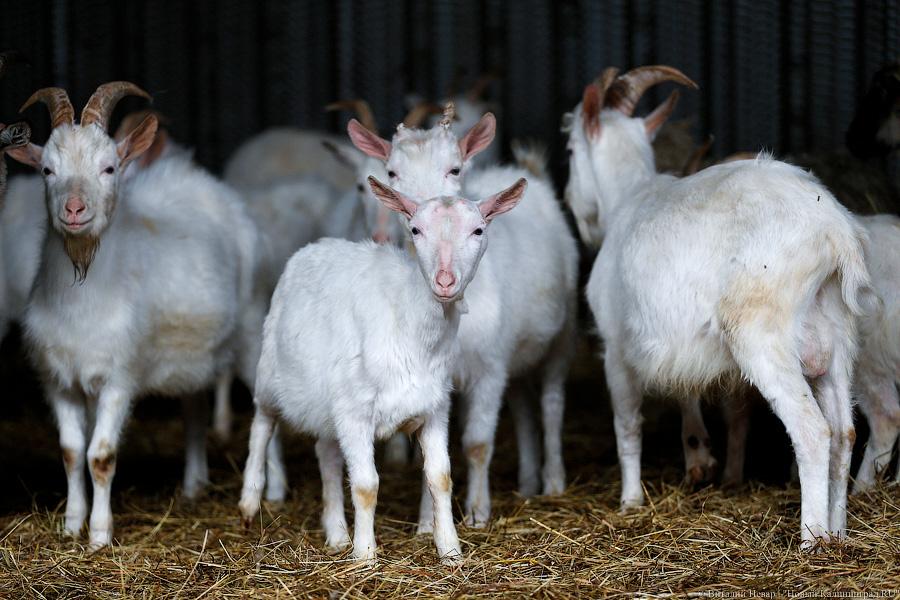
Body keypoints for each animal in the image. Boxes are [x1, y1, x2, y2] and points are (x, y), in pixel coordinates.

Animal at [6, 82, 267, 548]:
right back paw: (193, 486)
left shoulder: (118, 378)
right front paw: (72, 524)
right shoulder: (59, 380)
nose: (74, 210)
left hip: (253, 329)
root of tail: (206, 186)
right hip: (190, 356)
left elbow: (100, 455)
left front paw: (99, 534)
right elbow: (71, 452)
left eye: (109, 168)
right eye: (47, 170)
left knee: (263, 406)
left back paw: (269, 492)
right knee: (194, 408)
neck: (82, 295)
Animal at [239, 175, 529, 564]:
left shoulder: (434, 407)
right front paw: (365, 556)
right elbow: (366, 486)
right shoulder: (355, 412)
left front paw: (450, 550)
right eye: (415, 229)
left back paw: (336, 535)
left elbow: (440, 477)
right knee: (262, 424)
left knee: (327, 457)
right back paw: (250, 502)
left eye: (479, 230)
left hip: (328, 403)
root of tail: (315, 246)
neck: (410, 323)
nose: (445, 281)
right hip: (271, 373)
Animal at [346, 102, 579, 528]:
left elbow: (477, 444)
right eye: (392, 172)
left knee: (552, 402)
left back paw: (553, 480)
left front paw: (477, 513)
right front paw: (427, 524)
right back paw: (527, 479)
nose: (417, 214)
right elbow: (433, 454)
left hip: (563, 331)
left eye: (454, 169)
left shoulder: (489, 366)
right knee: (522, 407)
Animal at [564, 65, 873, 549]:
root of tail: (835, 233)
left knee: (812, 429)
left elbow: (626, 424)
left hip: (762, 334)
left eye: (571, 149)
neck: (630, 199)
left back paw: (812, 539)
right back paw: (838, 534)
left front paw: (630, 502)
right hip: (837, 341)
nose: (577, 213)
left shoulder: (617, 347)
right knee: (844, 432)